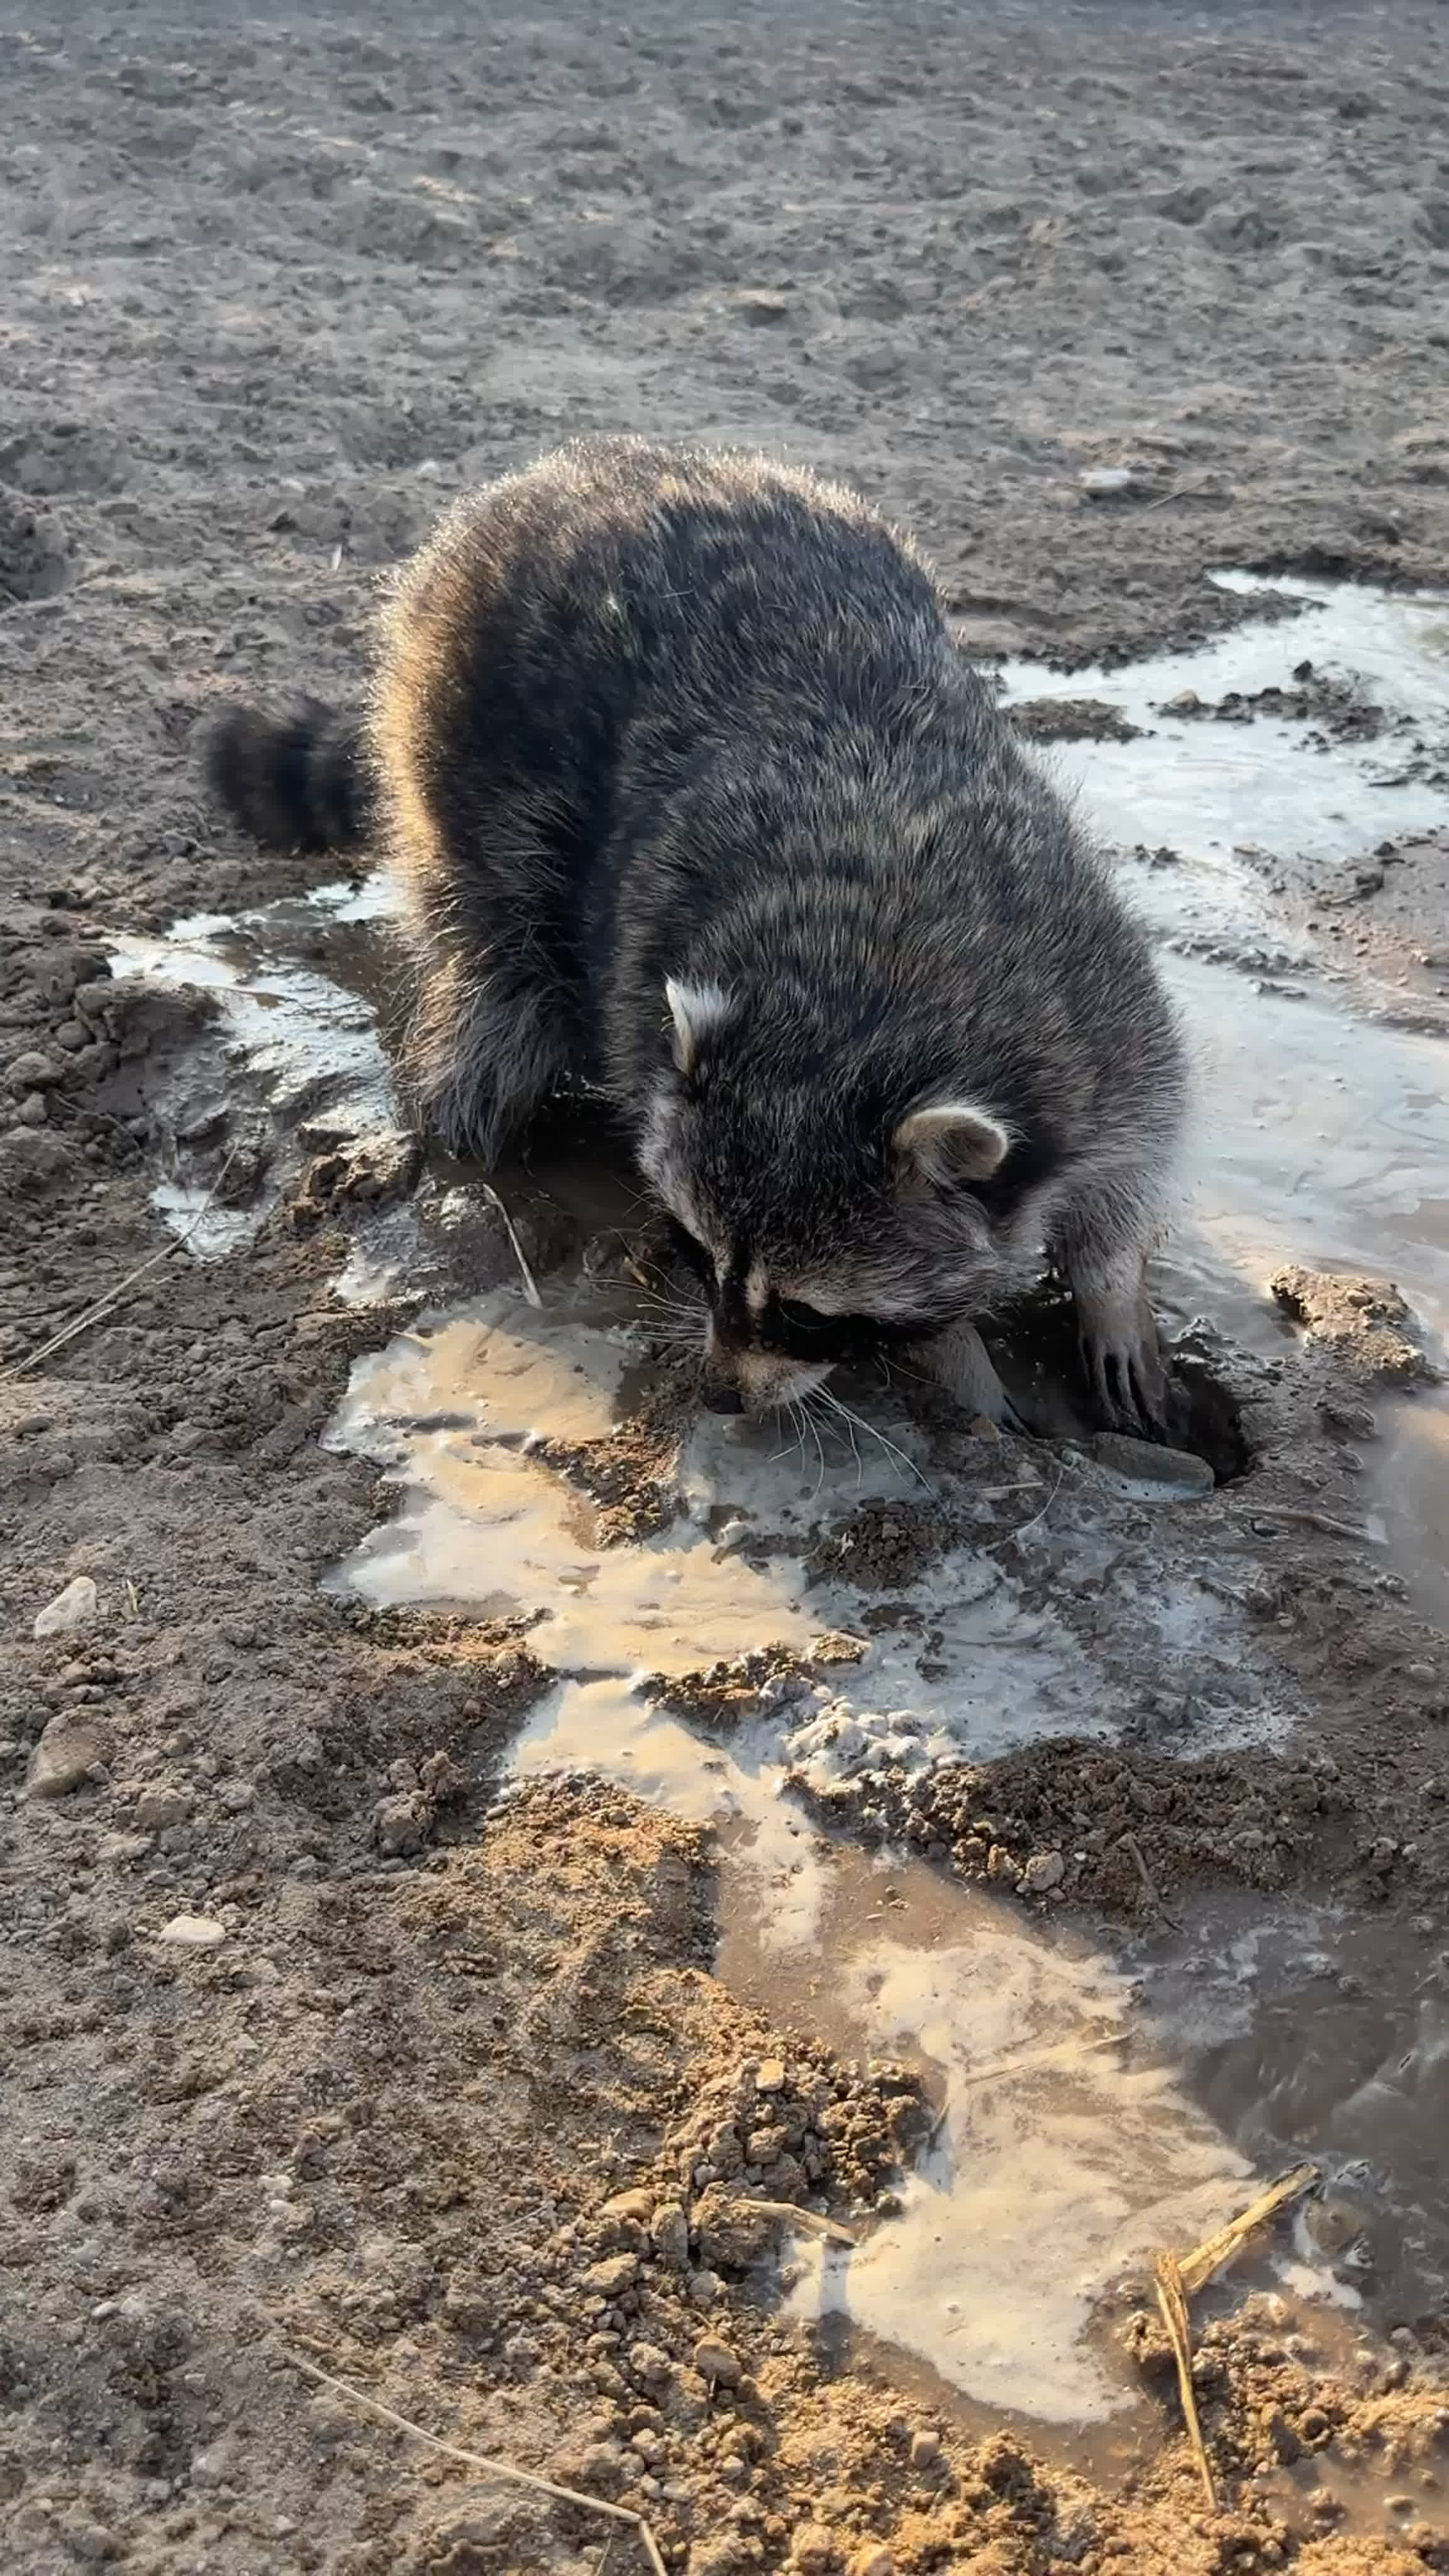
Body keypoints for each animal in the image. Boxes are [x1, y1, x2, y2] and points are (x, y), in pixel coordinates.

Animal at [209, 438, 1180, 1432]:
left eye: (805, 1312)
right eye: (693, 1250)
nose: (717, 1394)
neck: (880, 985)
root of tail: (562, 470)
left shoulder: (1100, 1000)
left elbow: (1132, 1159)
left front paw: (1110, 1286)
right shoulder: (651, 985)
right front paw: (959, 1359)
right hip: (464, 731)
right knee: (501, 964)